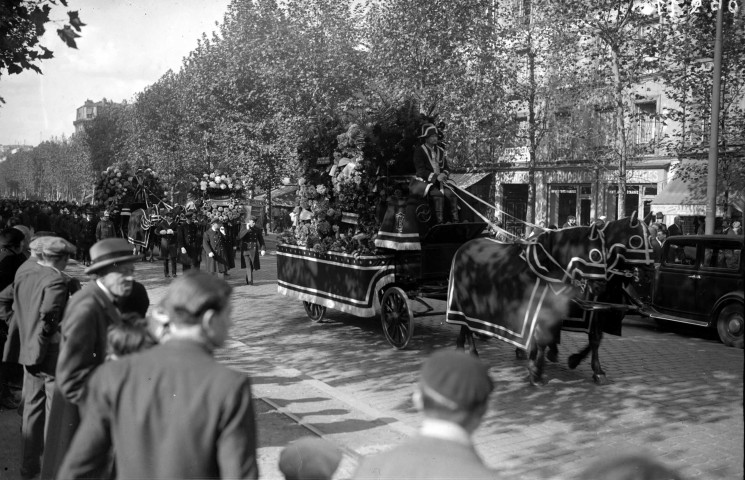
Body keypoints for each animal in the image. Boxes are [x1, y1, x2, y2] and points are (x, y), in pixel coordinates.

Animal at [448, 214, 652, 386]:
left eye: (650, 237)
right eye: (636, 240)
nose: (649, 270)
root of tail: (464, 247)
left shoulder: (598, 311)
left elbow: (594, 339)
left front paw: (587, 366)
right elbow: (546, 339)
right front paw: (538, 370)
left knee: (465, 325)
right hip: (465, 302)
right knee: (466, 325)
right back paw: (472, 352)